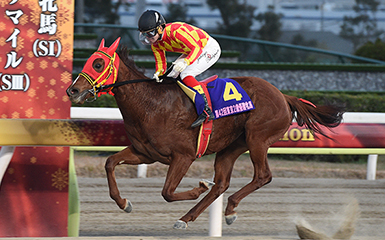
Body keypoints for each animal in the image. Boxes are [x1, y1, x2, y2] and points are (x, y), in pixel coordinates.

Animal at [65, 37, 342, 229]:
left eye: (98, 63)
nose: (72, 91)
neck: (151, 104)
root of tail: (284, 96)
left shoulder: (183, 156)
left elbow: (167, 192)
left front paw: (198, 187)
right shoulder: (145, 153)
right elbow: (110, 163)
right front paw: (124, 203)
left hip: (258, 138)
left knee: (263, 176)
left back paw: (226, 207)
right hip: (231, 146)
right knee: (221, 184)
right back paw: (197, 216)